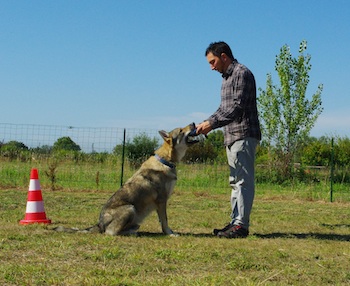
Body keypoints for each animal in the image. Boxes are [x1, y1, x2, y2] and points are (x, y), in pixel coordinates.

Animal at [53, 122, 204, 236]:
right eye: (181, 130)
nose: (194, 123)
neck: (165, 161)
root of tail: (99, 224)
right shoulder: (161, 200)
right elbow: (165, 221)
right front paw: (170, 234)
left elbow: (163, 221)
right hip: (131, 208)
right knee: (110, 233)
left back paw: (132, 231)